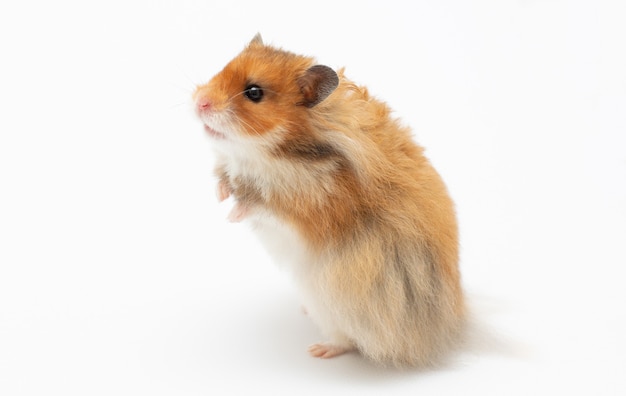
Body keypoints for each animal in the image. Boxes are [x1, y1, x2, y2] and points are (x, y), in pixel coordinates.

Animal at [194, 34, 464, 368]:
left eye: (254, 92)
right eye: (223, 68)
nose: (199, 102)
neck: (272, 151)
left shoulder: (308, 207)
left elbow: (262, 205)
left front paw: (232, 215)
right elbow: (224, 179)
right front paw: (220, 195)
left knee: (347, 339)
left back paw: (319, 350)